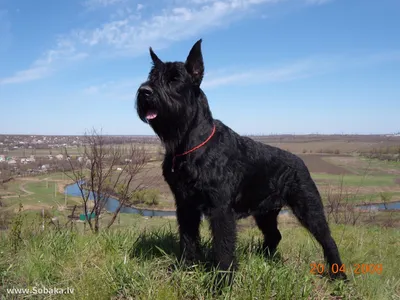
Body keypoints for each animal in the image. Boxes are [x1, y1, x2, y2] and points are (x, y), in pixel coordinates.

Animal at [135, 39, 346, 282]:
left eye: (175, 79)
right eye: (152, 76)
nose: (144, 91)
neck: (188, 143)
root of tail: (301, 162)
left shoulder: (220, 208)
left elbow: (223, 247)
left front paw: (221, 281)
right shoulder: (185, 204)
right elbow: (188, 238)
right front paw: (186, 267)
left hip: (308, 208)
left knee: (327, 239)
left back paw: (339, 275)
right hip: (265, 212)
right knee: (275, 235)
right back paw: (264, 259)